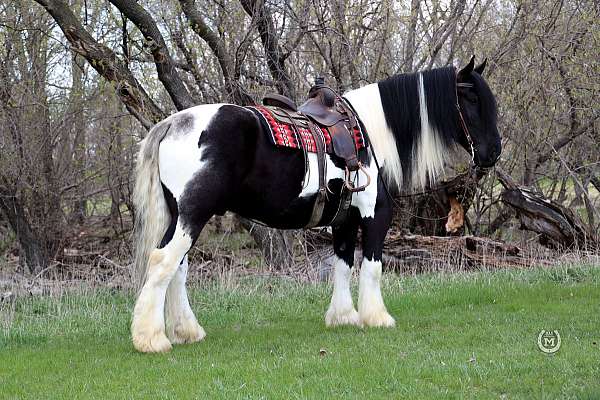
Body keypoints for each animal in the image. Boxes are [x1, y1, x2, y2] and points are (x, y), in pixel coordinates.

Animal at [131, 57, 502, 352]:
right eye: (471, 98)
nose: (493, 152)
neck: (367, 132)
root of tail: (173, 124)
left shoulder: (344, 221)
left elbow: (343, 264)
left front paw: (343, 316)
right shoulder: (375, 214)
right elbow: (372, 265)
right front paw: (376, 317)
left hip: (182, 217)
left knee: (178, 269)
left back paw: (186, 331)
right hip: (193, 215)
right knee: (164, 262)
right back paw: (151, 338)